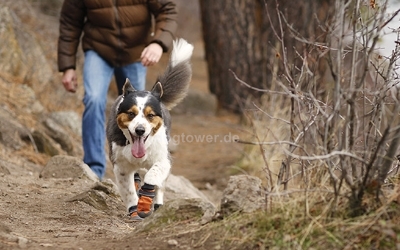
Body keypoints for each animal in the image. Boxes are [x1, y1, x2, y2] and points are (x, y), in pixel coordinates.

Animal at [106, 38, 194, 220]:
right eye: (131, 113)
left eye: (150, 115)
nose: (140, 130)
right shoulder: (120, 167)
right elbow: (129, 191)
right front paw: (134, 209)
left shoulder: (164, 160)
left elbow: (153, 176)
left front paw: (146, 198)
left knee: (159, 185)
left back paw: (158, 203)